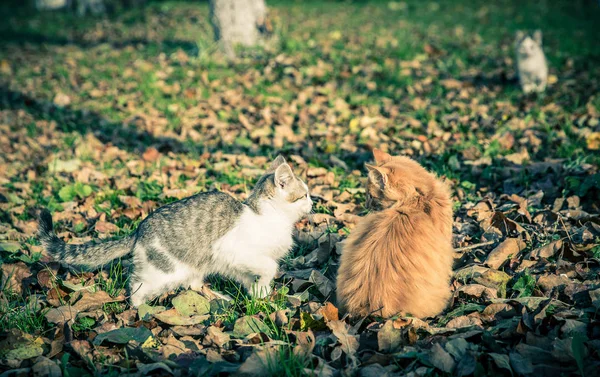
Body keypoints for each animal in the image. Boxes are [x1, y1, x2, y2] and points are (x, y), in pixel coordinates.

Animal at [40, 156, 314, 306]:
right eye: (304, 195)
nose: (314, 202)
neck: (268, 217)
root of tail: (140, 228)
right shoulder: (237, 252)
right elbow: (269, 266)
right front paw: (263, 289)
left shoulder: (238, 264)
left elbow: (255, 277)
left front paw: (260, 295)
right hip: (164, 271)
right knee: (136, 287)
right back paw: (140, 312)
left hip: (195, 266)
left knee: (193, 284)